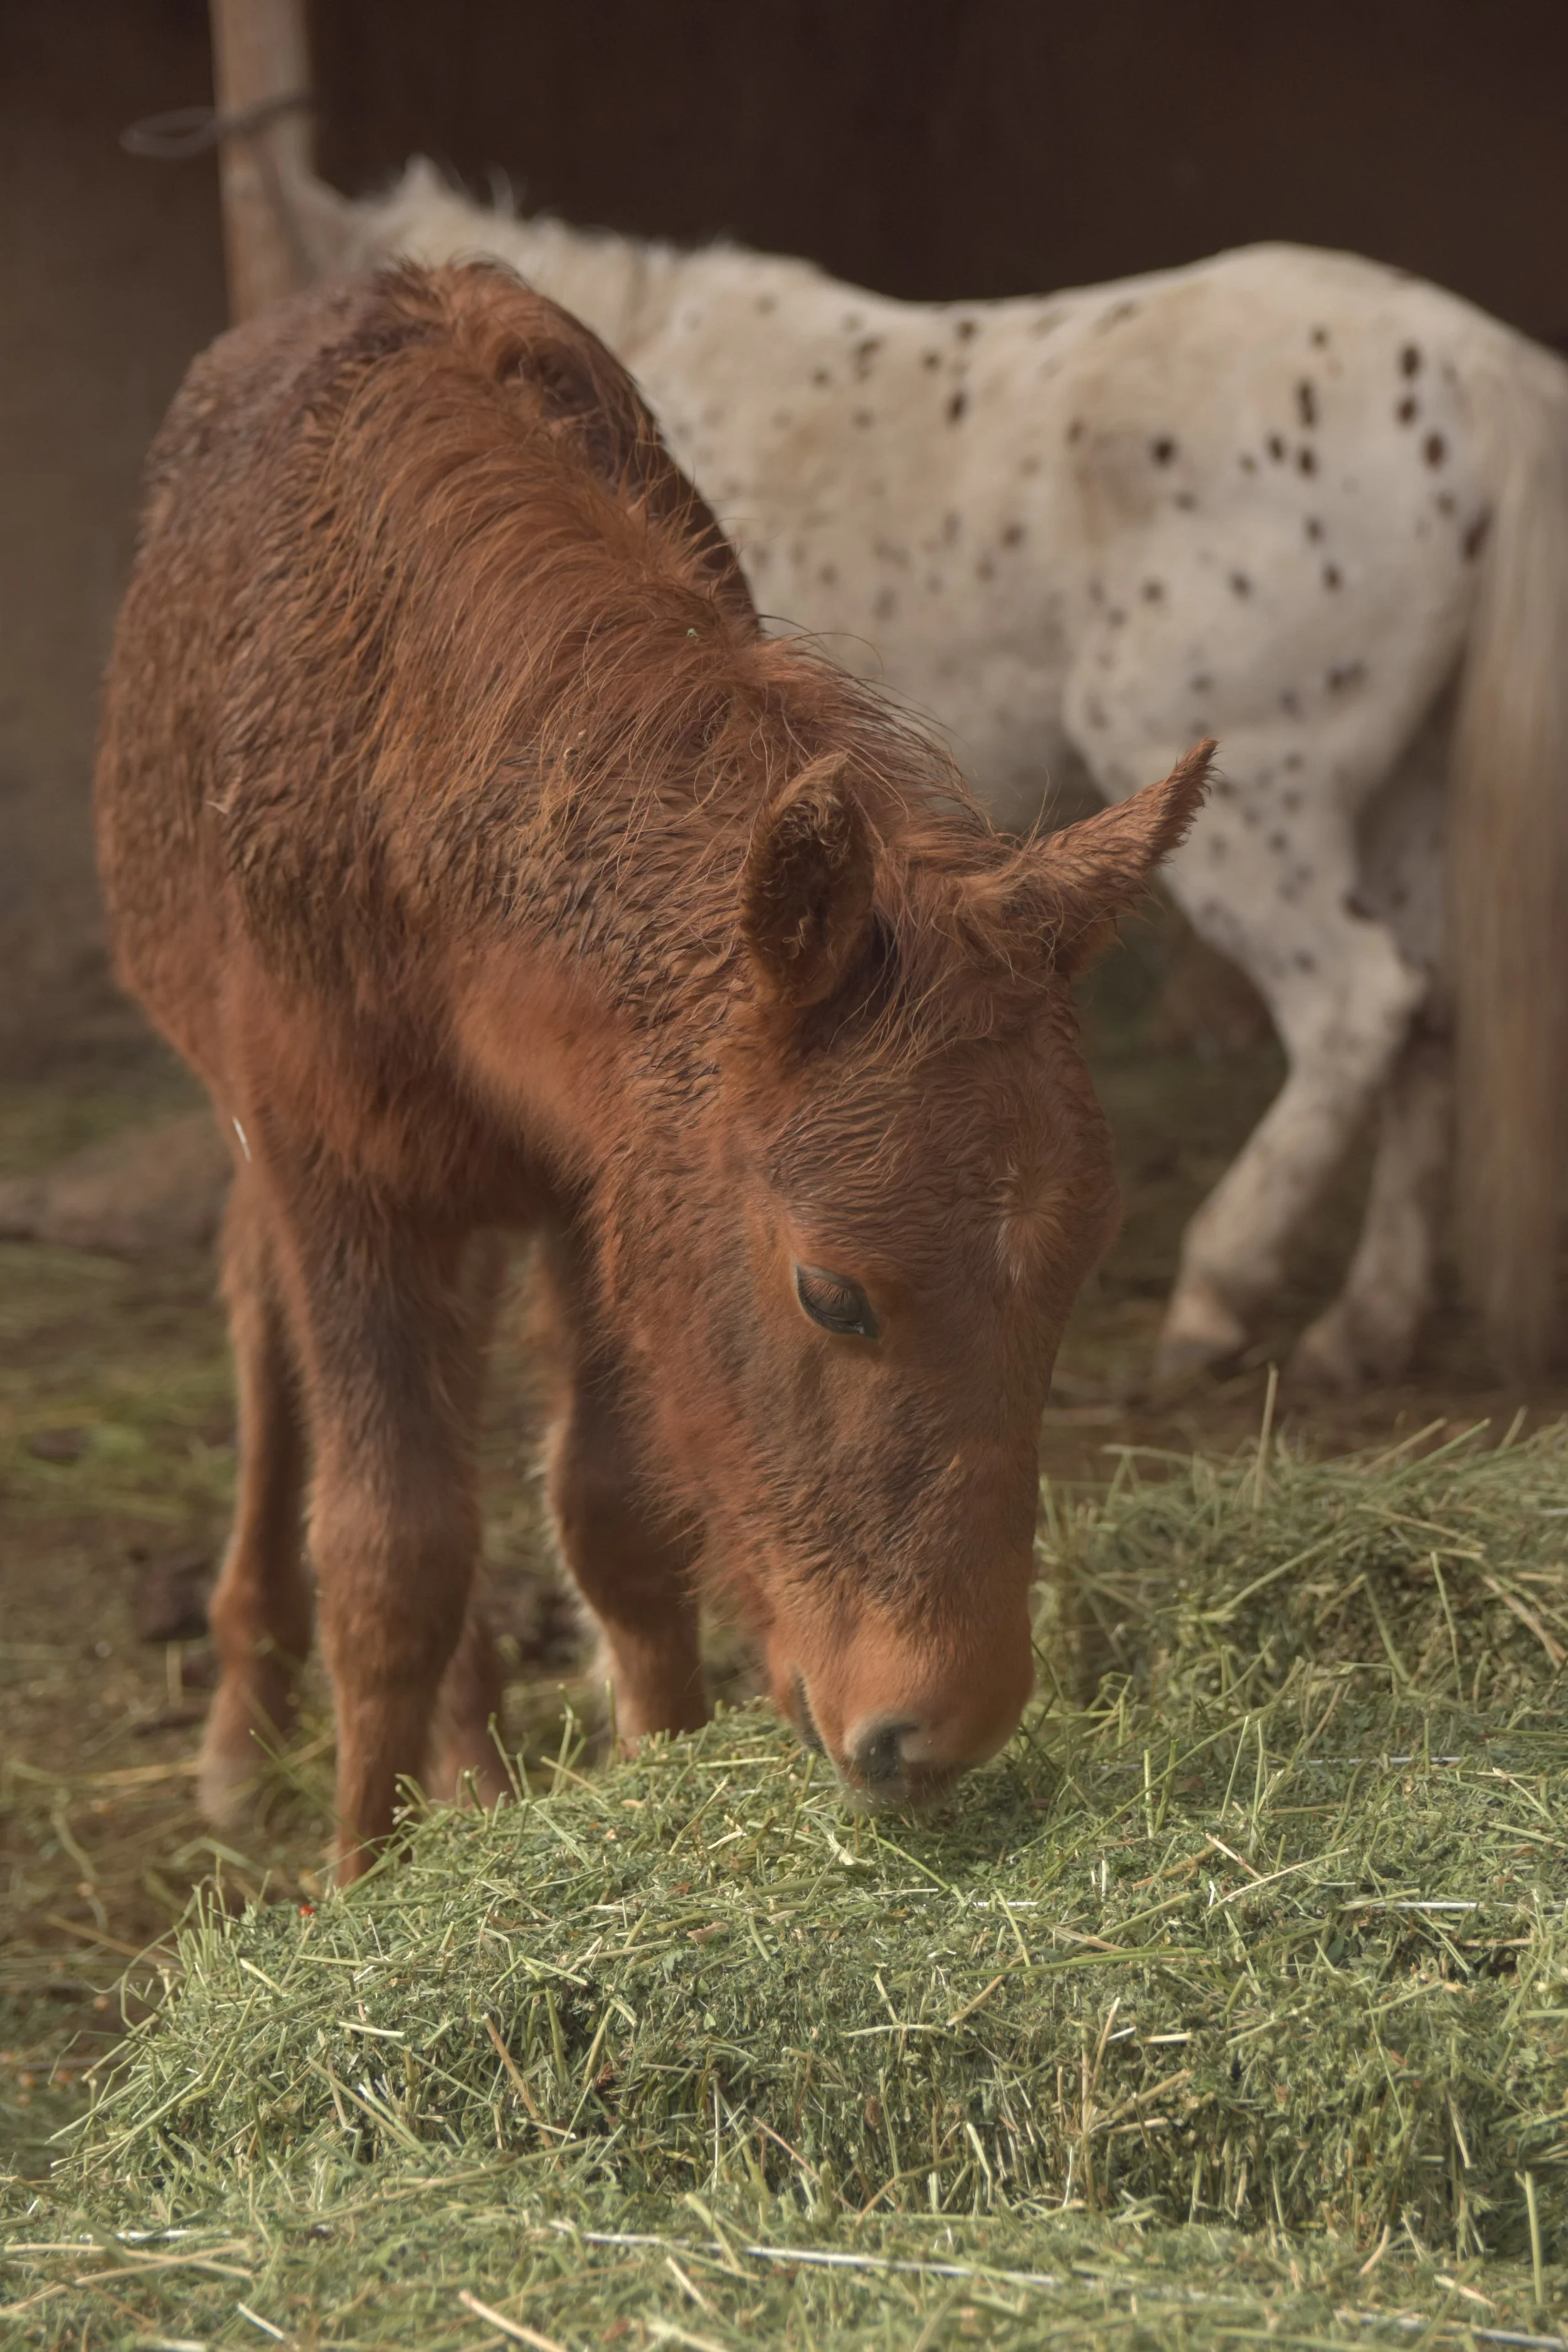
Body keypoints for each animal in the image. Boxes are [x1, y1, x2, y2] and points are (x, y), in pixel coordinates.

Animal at [96, 261, 1208, 1873]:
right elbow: (388, 1551)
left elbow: (611, 1517)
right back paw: (244, 1729)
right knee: (262, 1328)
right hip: (259, 1121)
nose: (932, 1725)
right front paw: (356, 1884)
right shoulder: (331, 1158)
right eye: (828, 1288)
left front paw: (651, 1767)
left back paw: (474, 1766)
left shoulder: (596, 1184)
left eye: (1079, 1267)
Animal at [291, 161, 1568, 1390]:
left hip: (1262, 794)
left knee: (1362, 1002)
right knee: (1431, 1018)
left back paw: (1219, 1289)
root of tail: (1474, 368)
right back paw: (1365, 1326)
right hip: (1404, 801)